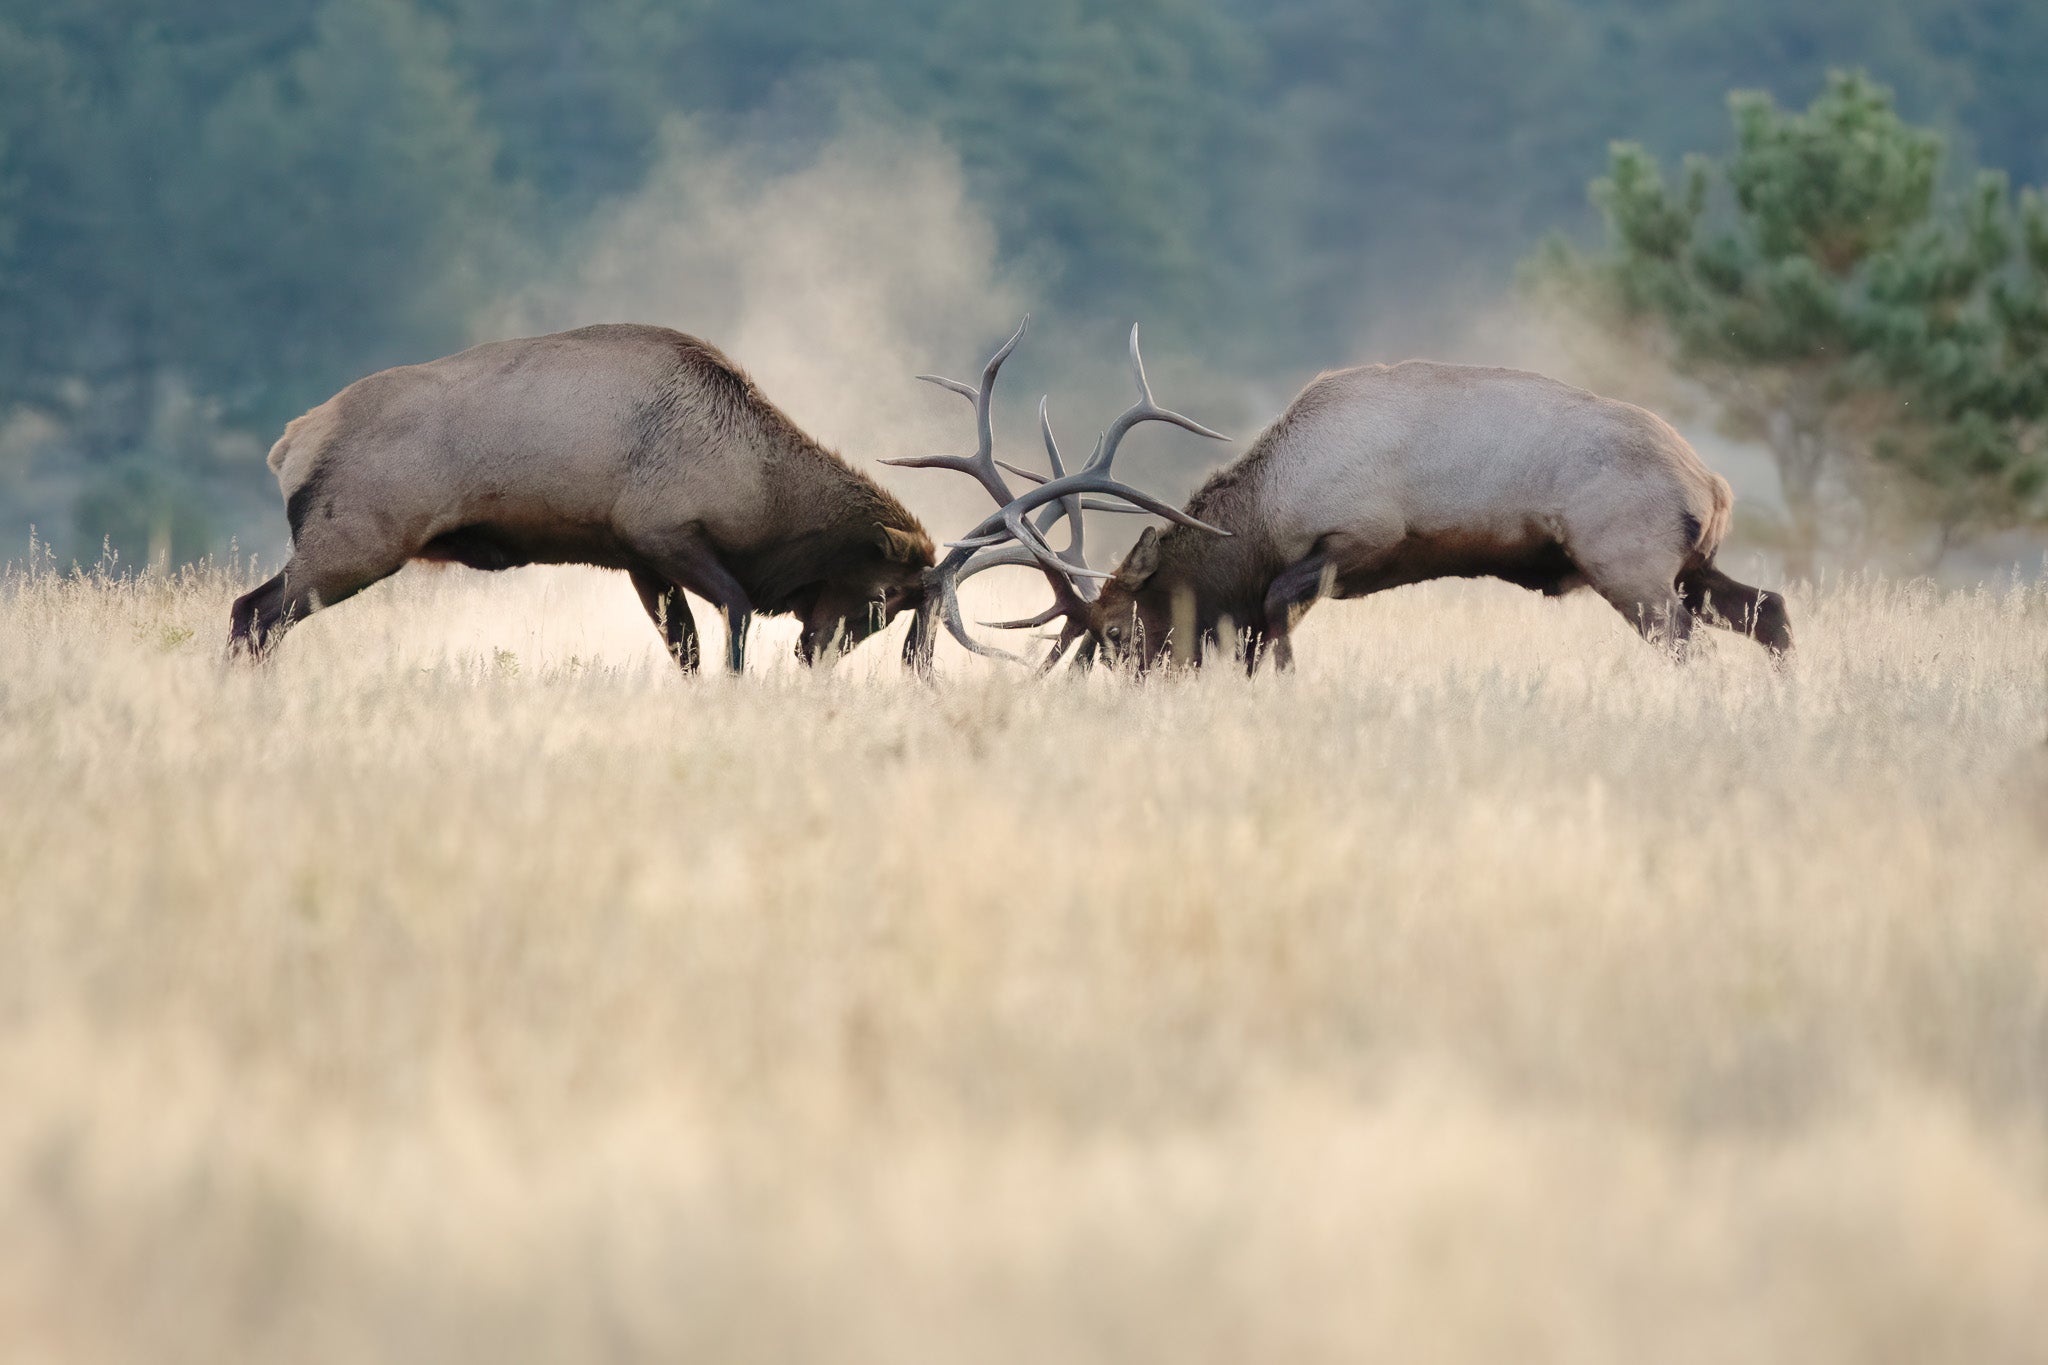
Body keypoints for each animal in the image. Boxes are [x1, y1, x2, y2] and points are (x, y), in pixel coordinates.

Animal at [933, 357, 1792, 672]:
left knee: (1693, 647)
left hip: (1630, 565)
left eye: (1115, 629)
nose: (1093, 679)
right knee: (1772, 611)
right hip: (1692, 567)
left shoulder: (1358, 536)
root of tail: (1712, 483)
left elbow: (1274, 612)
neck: (1268, 506)